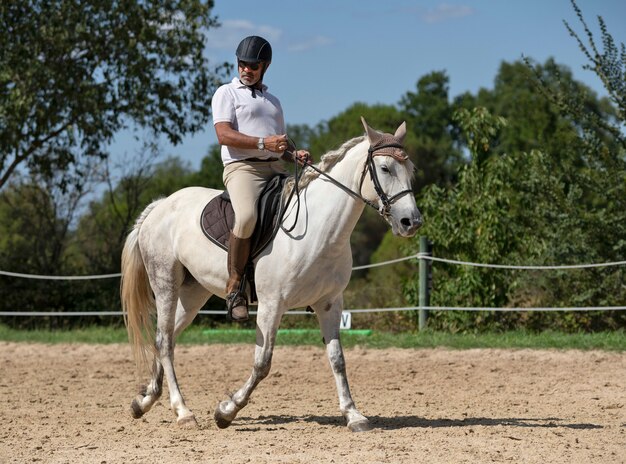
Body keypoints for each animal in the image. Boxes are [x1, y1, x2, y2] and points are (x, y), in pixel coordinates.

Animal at [119, 118, 422, 432]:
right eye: (385, 168)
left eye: (410, 169)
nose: (411, 222)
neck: (319, 229)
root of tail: (160, 205)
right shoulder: (271, 305)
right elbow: (262, 363)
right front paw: (226, 410)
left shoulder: (330, 304)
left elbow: (337, 359)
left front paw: (353, 415)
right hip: (166, 283)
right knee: (165, 342)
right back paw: (182, 411)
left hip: (193, 293)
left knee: (166, 337)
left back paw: (144, 401)